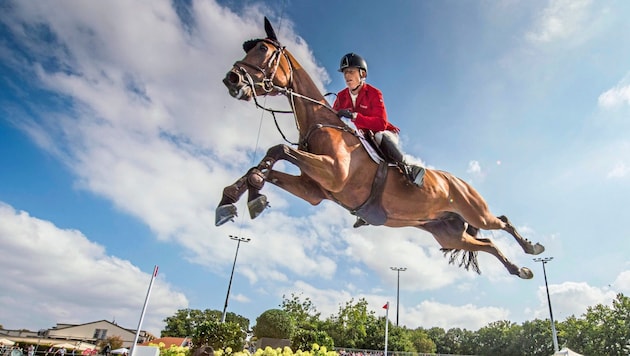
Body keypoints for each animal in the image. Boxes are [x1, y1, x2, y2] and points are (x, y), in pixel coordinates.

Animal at [216, 17, 544, 278]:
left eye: (263, 50)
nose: (231, 79)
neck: (319, 123)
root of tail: (460, 183)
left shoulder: (334, 172)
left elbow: (278, 150)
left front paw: (250, 194)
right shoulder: (314, 191)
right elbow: (266, 165)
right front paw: (237, 198)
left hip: (476, 213)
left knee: (502, 222)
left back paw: (532, 248)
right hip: (448, 234)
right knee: (488, 244)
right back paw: (520, 270)